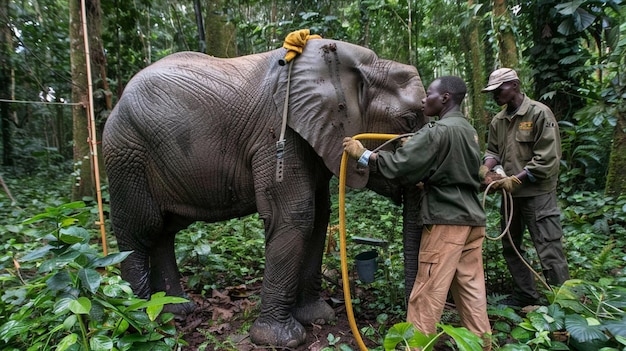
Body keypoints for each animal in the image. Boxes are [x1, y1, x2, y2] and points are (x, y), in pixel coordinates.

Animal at [102, 38, 424, 350]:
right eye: (409, 121)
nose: (406, 332)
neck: (354, 62)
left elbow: (319, 216)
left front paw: (317, 318)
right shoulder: (276, 133)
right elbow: (296, 214)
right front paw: (282, 340)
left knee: (165, 230)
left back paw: (175, 312)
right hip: (126, 155)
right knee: (141, 228)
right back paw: (141, 323)